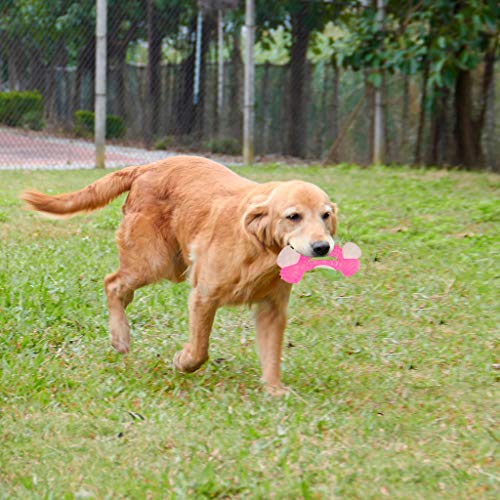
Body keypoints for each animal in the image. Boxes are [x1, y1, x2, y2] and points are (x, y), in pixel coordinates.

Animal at [22, 156, 336, 394]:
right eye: (293, 216)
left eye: (326, 215)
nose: (323, 247)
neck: (259, 248)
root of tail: (147, 167)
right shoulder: (203, 296)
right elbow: (200, 350)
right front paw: (182, 361)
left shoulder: (272, 309)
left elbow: (272, 354)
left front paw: (274, 390)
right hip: (154, 261)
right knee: (112, 283)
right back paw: (120, 336)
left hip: (168, 264)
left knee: (121, 289)